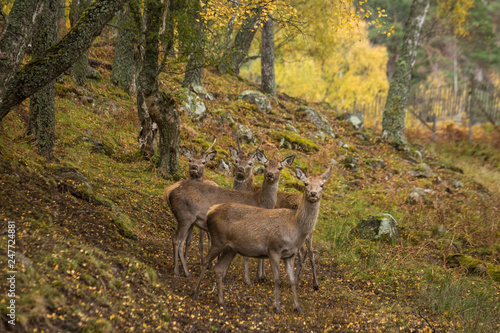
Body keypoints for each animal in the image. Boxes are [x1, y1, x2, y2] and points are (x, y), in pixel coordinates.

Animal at [193, 165, 334, 312]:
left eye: (322, 185)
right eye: (305, 183)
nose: (313, 193)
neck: (294, 228)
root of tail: (210, 211)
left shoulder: (290, 255)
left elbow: (293, 280)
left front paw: (298, 308)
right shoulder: (274, 249)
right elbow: (276, 279)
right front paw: (277, 307)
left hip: (230, 248)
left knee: (219, 269)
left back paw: (221, 302)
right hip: (218, 240)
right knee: (205, 262)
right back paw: (195, 294)